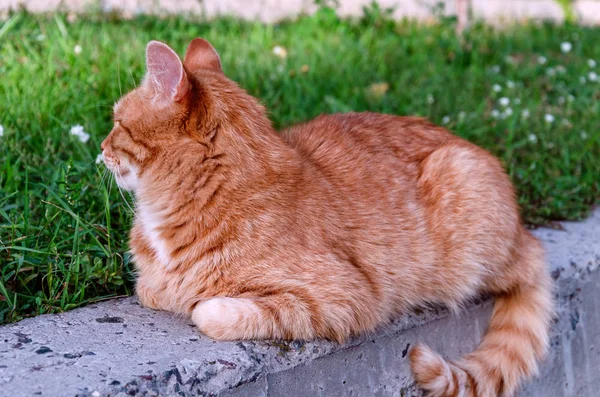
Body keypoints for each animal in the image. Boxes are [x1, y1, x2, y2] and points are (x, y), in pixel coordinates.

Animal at [99, 38, 552, 396]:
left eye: (117, 122)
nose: (101, 148)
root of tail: (526, 234)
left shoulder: (344, 299)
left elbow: (210, 310)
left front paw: (199, 302)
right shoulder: (151, 283)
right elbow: (153, 289)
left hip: (461, 190)